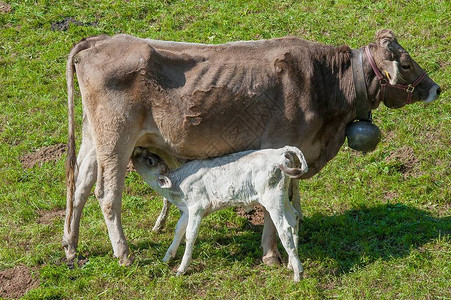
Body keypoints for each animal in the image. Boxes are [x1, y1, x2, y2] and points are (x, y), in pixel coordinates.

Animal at [63, 29, 442, 266]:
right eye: (406, 64)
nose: (436, 88)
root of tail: (102, 40)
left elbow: (290, 201)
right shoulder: (279, 147)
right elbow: (276, 207)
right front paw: (272, 255)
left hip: (94, 137)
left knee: (80, 185)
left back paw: (71, 247)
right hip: (116, 139)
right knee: (106, 193)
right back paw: (124, 254)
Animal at [132, 145, 308, 282]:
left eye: (150, 160)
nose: (138, 148)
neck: (177, 186)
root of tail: (281, 151)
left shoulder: (197, 208)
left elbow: (190, 235)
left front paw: (181, 269)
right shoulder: (187, 211)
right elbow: (178, 230)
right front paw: (166, 258)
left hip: (272, 197)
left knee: (284, 228)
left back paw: (298, 274)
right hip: (282, 196)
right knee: (294, 218)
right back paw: (291, 264)